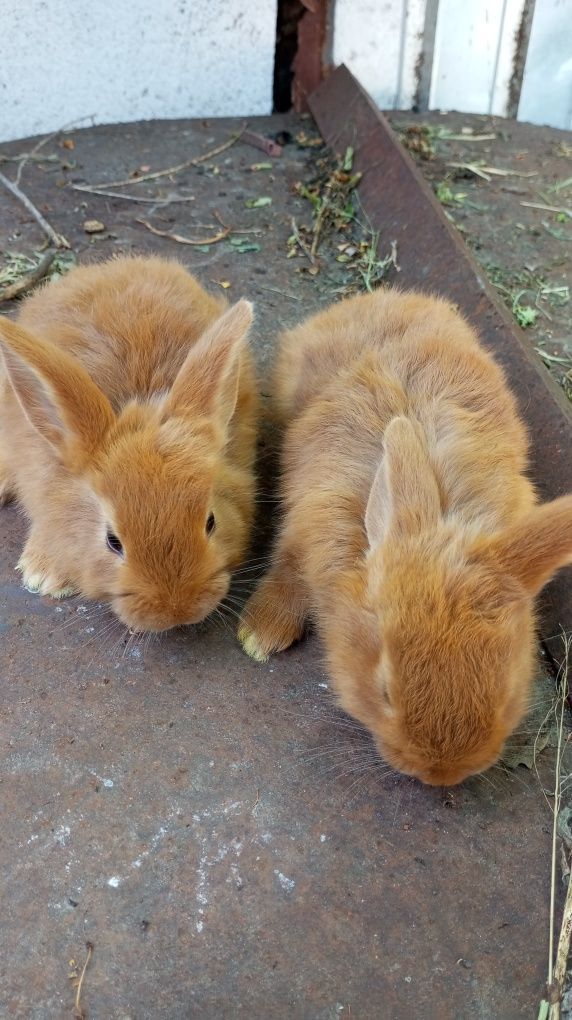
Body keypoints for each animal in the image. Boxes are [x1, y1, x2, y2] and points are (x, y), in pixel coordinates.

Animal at [238, 289, 570, 787]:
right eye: (385, 692)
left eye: (508, 686)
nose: (441, 774)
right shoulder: (308, 520)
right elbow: (290, 568)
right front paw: (259, 637)